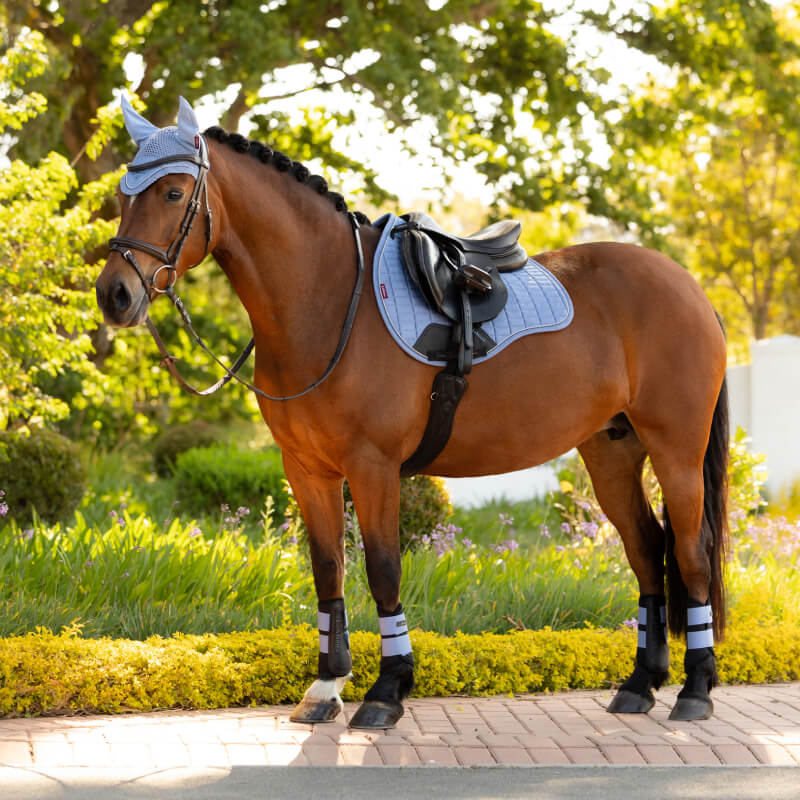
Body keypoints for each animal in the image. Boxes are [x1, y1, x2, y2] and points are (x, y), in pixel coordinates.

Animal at [96, 96, 729, 728]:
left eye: (173, 193)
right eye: (124, 194)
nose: (115, 294)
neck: (331, 302)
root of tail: (689, 285)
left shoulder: (372, 467)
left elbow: (382, 568)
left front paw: (386, 689)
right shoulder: (307, 469)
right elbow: (328, 568)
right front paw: (326, 685)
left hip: (676, 449)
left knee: (691, 552)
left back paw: (696, 689)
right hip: (611, 450)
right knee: (646, 549)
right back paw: (641, 683)